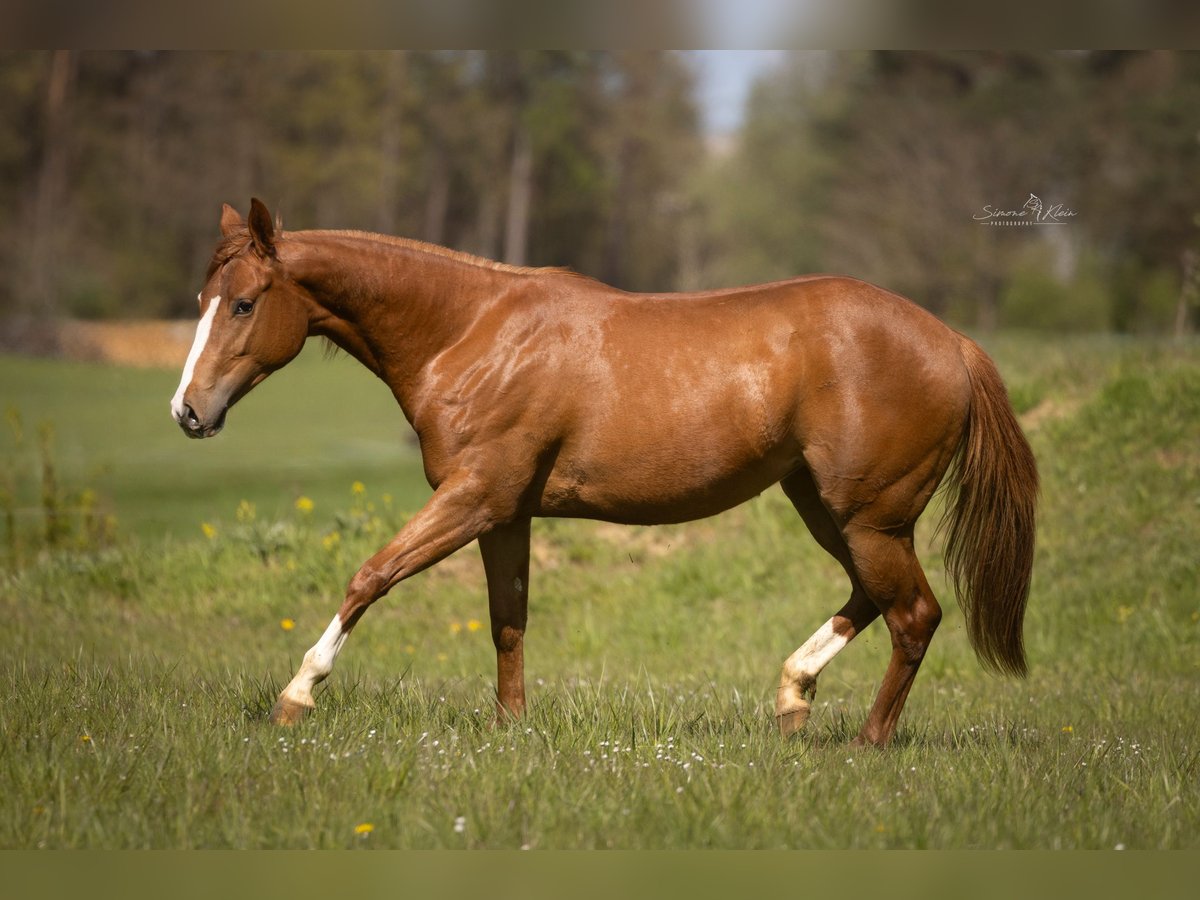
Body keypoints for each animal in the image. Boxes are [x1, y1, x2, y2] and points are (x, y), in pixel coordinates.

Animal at [171, 199, 1041, 748]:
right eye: (204, 298)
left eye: (244, 303)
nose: (187, 411)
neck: (471, 333)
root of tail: (952, 343)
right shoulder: (506, 515)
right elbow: (508, 620)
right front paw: (510, 728)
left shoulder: (473, 498)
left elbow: (370, 576)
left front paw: (296, 695)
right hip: (828, 508)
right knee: (874, 599)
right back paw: (793, 696)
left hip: (869, 517)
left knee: (915, 615)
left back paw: (866, 741)